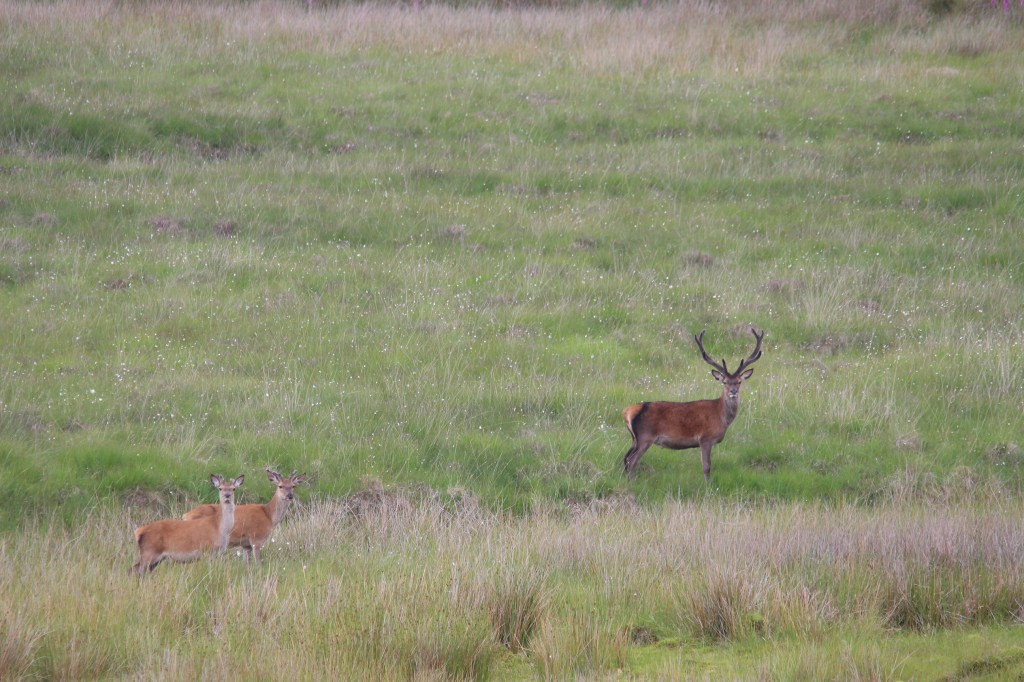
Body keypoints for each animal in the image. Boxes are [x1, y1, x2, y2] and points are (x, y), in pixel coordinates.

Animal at [622, 327, 764, 483]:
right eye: (725, 382)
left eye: (739, 381)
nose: (733, 391)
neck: (721, 416)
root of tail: (629, 411)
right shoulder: (706, 438)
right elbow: (707, 467)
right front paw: (708, 486)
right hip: (645, 437)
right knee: (631, 460)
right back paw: (632, 482)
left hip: (635, 439)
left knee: (625, 458)